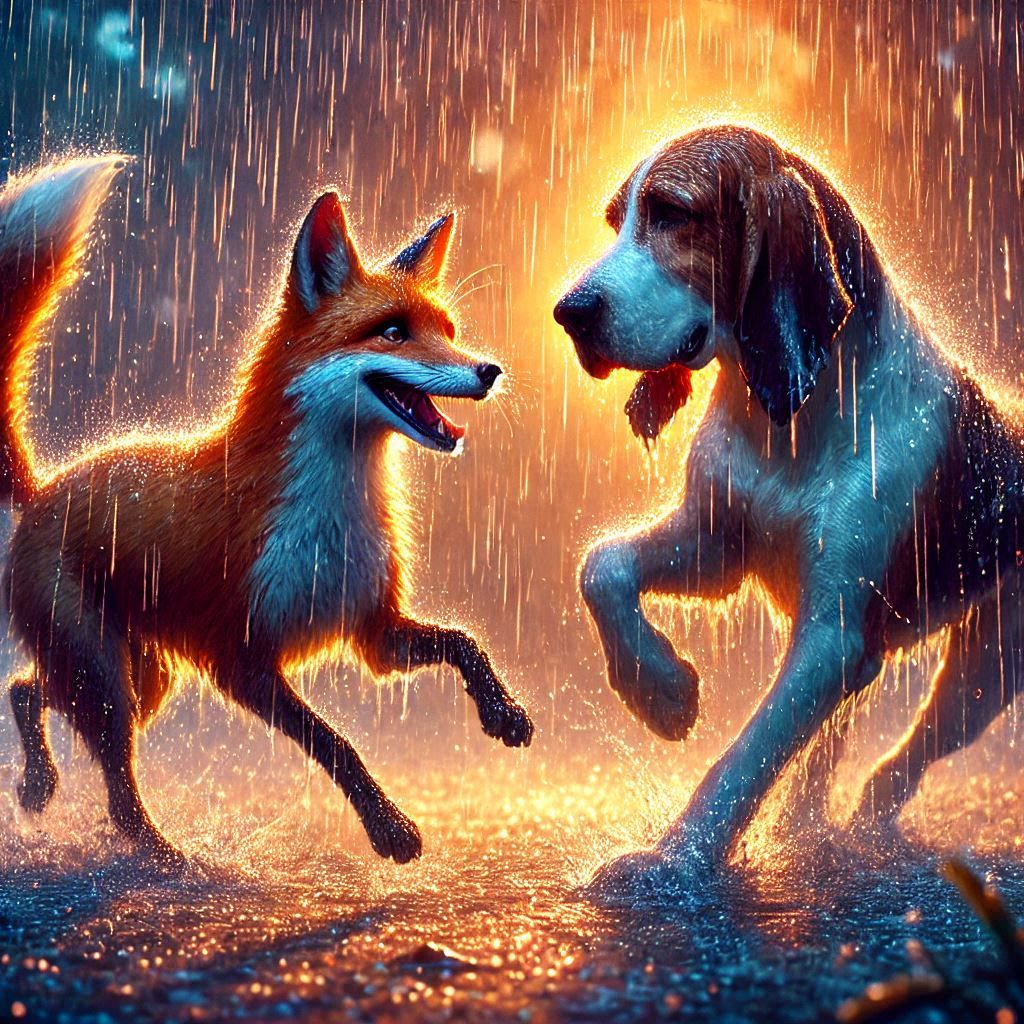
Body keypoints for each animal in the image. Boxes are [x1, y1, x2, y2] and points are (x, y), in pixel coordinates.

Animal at [0, 156, 533, 866]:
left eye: (447, 332)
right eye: (394, 331)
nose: (489, 370)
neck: (331, 517)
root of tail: (43, 491)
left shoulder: (375, 631)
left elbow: (465, 643)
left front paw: (502, 713)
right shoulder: (243, 660)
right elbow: (336, 743)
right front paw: (389, 828)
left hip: (140, 678)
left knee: (26, 689)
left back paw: (37, 784)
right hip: (107, 680)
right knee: (115, 787)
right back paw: (168, 859)